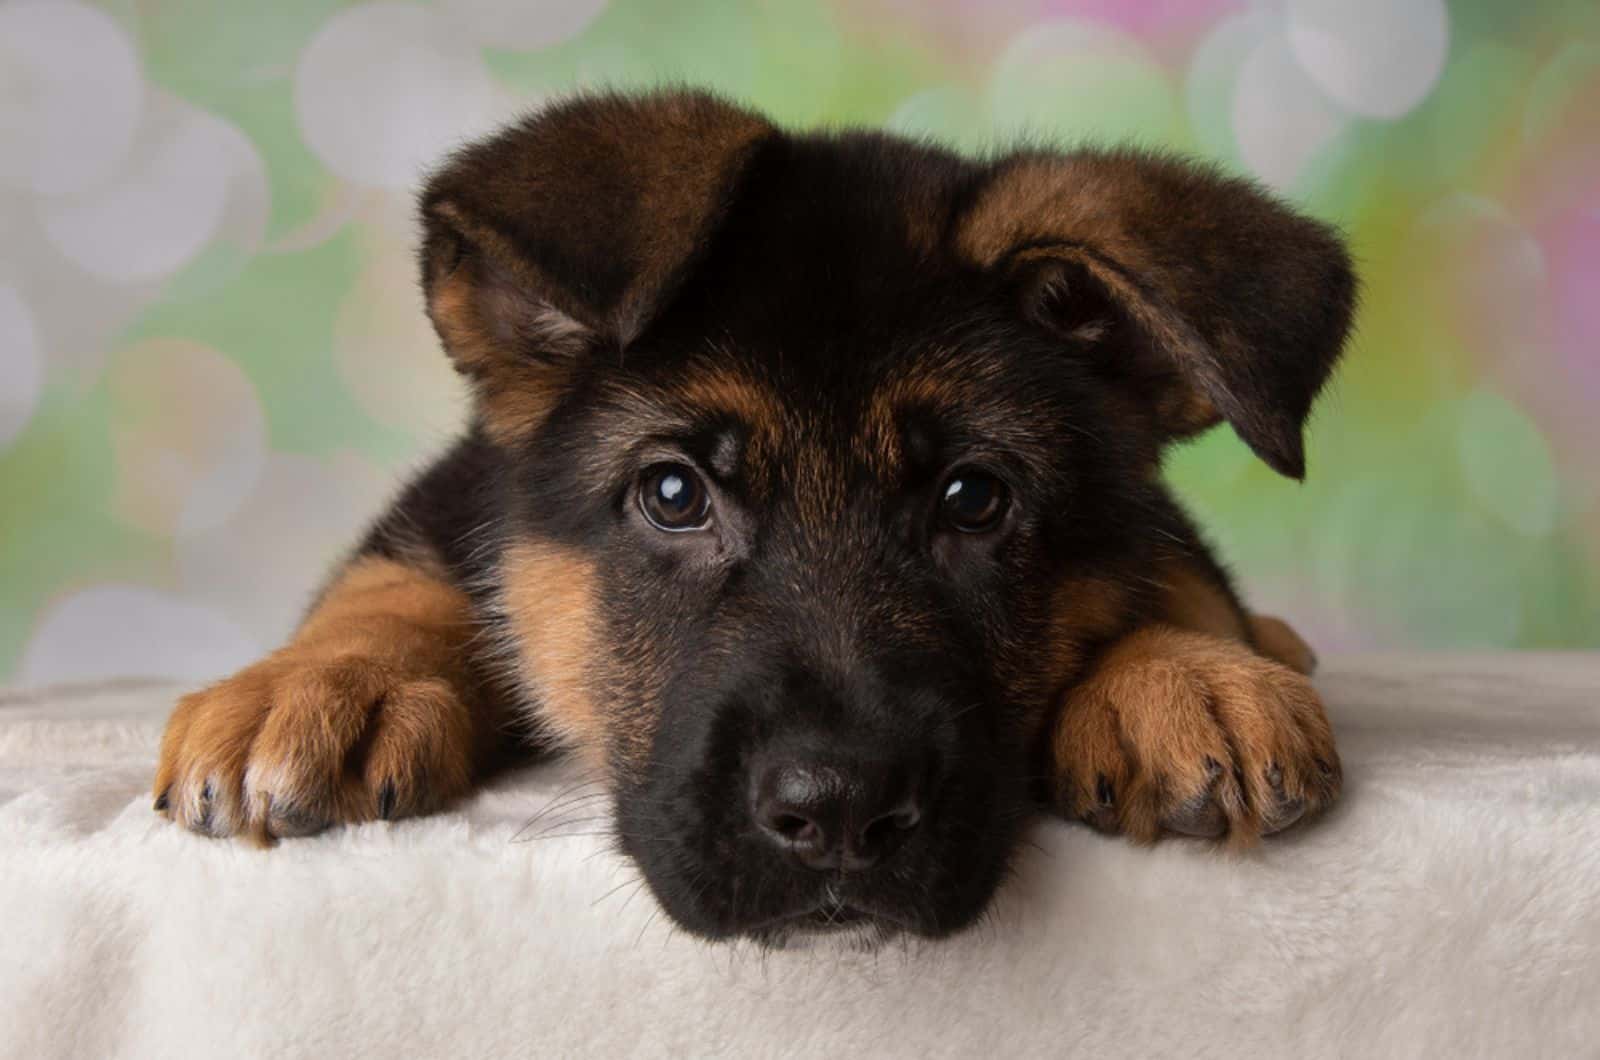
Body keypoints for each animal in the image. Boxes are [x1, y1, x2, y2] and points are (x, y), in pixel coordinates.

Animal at [152, 91, 1350, 947]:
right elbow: (395, 579)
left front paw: (1182, 674)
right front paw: (320, 685)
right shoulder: (462, 495)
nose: (839, 819)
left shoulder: (1134, 506)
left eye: (974, 499)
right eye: (674, 495)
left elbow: (1169, 564)